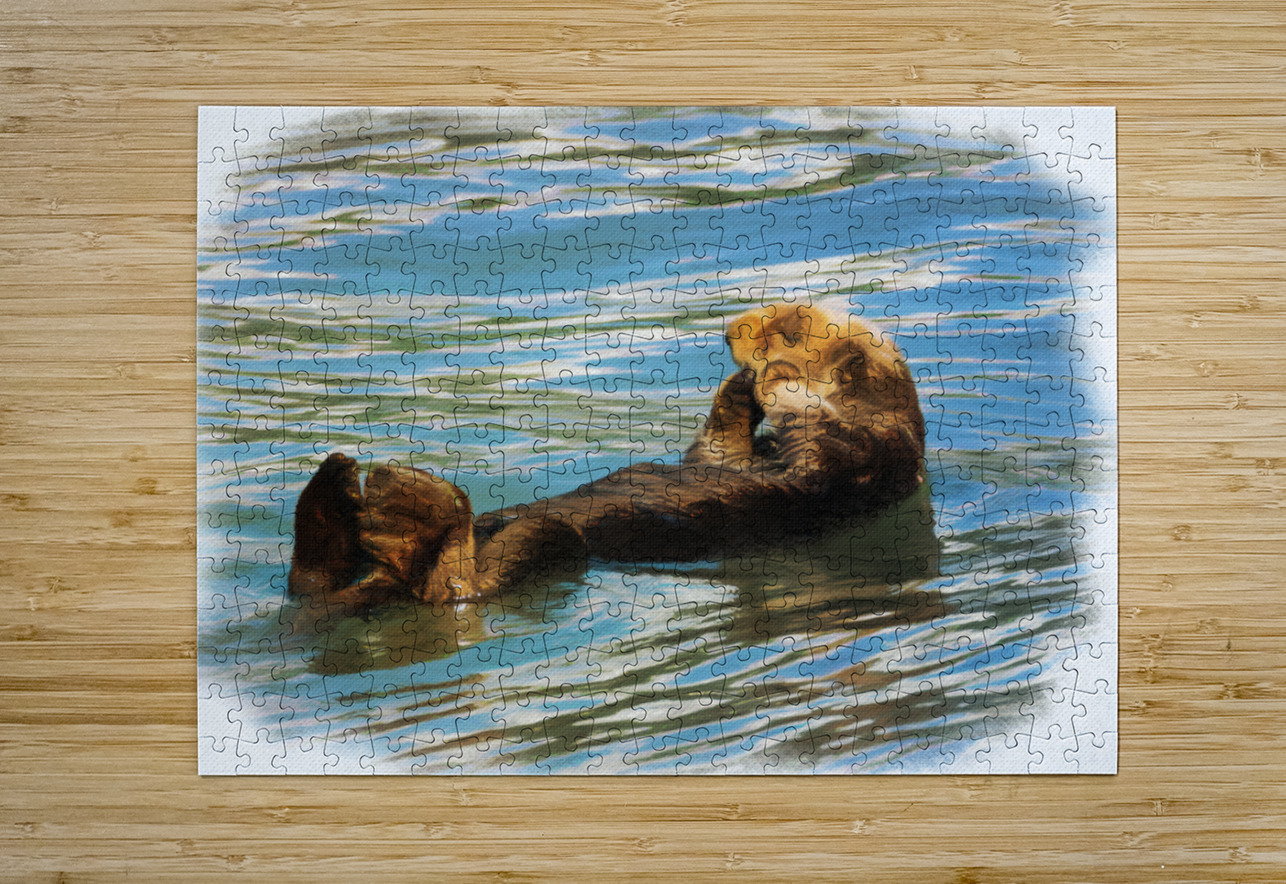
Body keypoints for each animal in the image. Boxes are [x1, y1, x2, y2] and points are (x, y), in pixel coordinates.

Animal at [287, 302, 926, 613]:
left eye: (789, 330)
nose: (732, 330)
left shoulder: (863, 455)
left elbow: (814, 453)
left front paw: (776, 381)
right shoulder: (735, 456)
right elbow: (719, 449)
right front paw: (738, 391)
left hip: (547, 547)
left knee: (456, 585)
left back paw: (412, 512)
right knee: (313, 584)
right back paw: (337, 492)